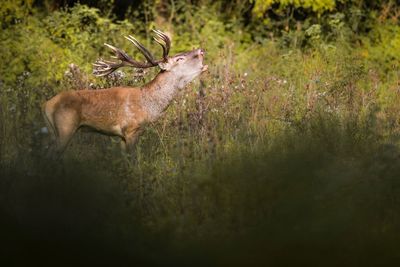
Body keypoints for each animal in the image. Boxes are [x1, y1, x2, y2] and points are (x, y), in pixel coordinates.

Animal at [42, 29, 208, 156]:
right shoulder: (131, 129)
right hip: (65, 127)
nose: (201, 50)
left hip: (53, 131)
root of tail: (46, 105)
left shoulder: (122, 135)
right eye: (179, 58)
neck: (148, 106)